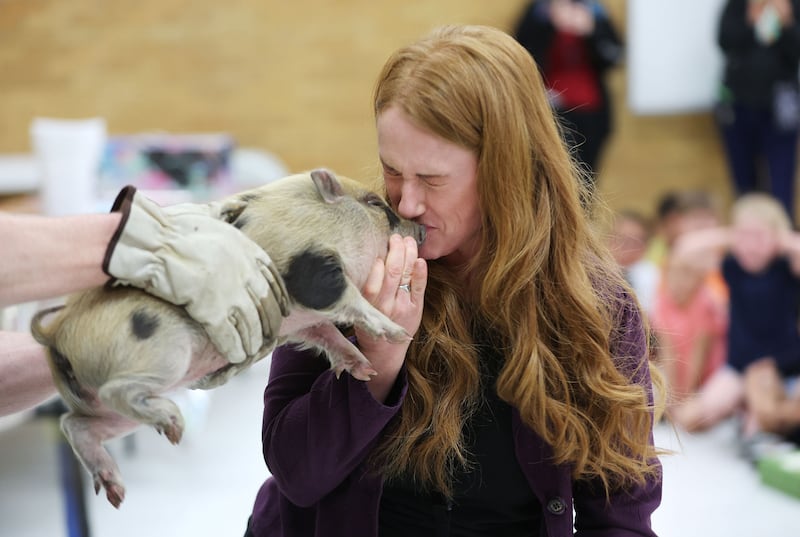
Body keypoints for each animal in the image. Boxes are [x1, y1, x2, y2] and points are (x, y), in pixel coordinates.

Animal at [29, 168, 425, 508]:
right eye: (375, 204)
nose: (419, 229)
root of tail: (57, 333)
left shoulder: (298, 323)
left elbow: (327, 334)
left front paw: (364, 370)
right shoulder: (313, 271)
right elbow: (349, 301)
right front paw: (397, 332)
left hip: (114, 403)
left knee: (74, 424)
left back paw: (116, 491)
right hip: (163, 353)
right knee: (117, 393)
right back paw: (175, 426)